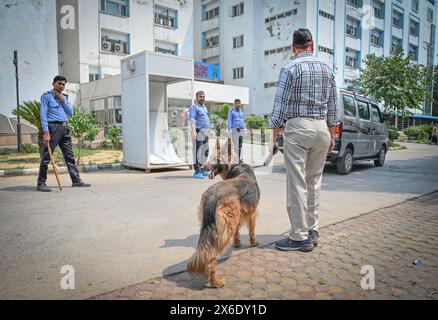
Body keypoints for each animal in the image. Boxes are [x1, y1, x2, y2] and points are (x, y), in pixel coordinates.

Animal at [186, 138, 260, 288]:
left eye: (216, 159)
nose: (202, 168)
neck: (237, 168)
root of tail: (212, 196)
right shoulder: (253, 213)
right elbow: (252, 231)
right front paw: (253, 243)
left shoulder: (238, 217)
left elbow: (237, 232)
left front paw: (237, 243)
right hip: (225, 231)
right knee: (212, 255)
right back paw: (215, 281)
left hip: (211, 226)